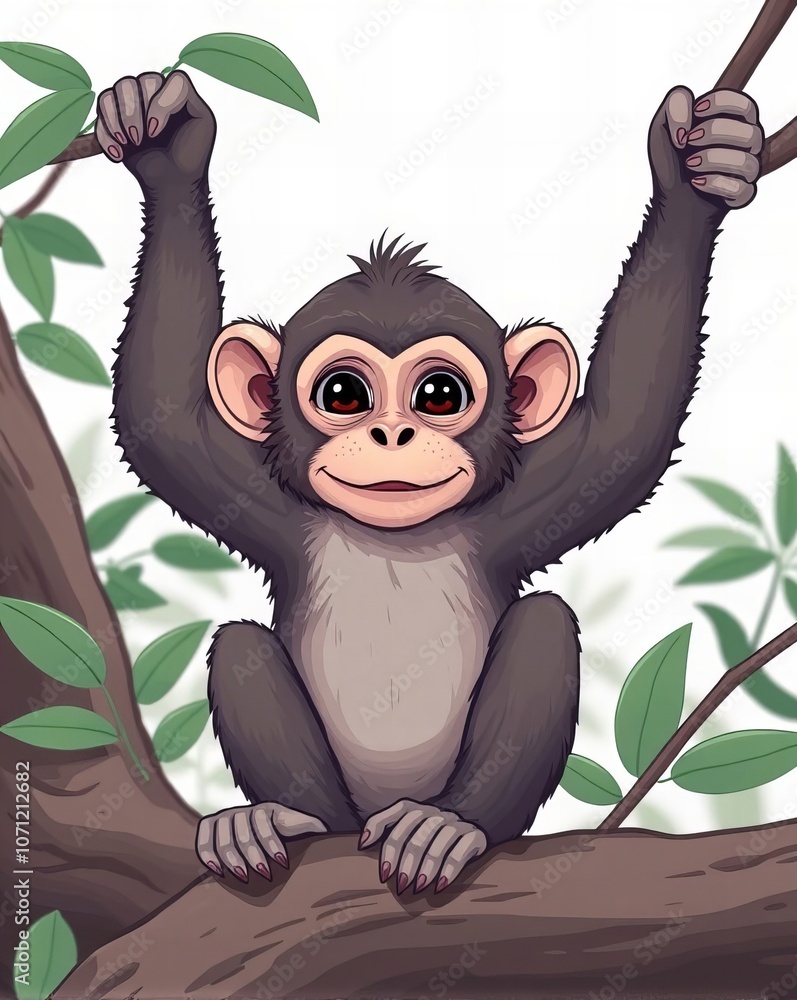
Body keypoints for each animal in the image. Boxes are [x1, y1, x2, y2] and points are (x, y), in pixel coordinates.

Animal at [99, 70, 762, 893]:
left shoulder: (516, 510)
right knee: (239, 645)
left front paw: (699, 174)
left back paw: (450, 825)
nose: (393, 434)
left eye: (439, 395)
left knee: (545, 621)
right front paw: (165, 146)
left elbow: (627, 426)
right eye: (343, 394)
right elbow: (160, 418)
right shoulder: (271, 508)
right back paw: (277, 820)